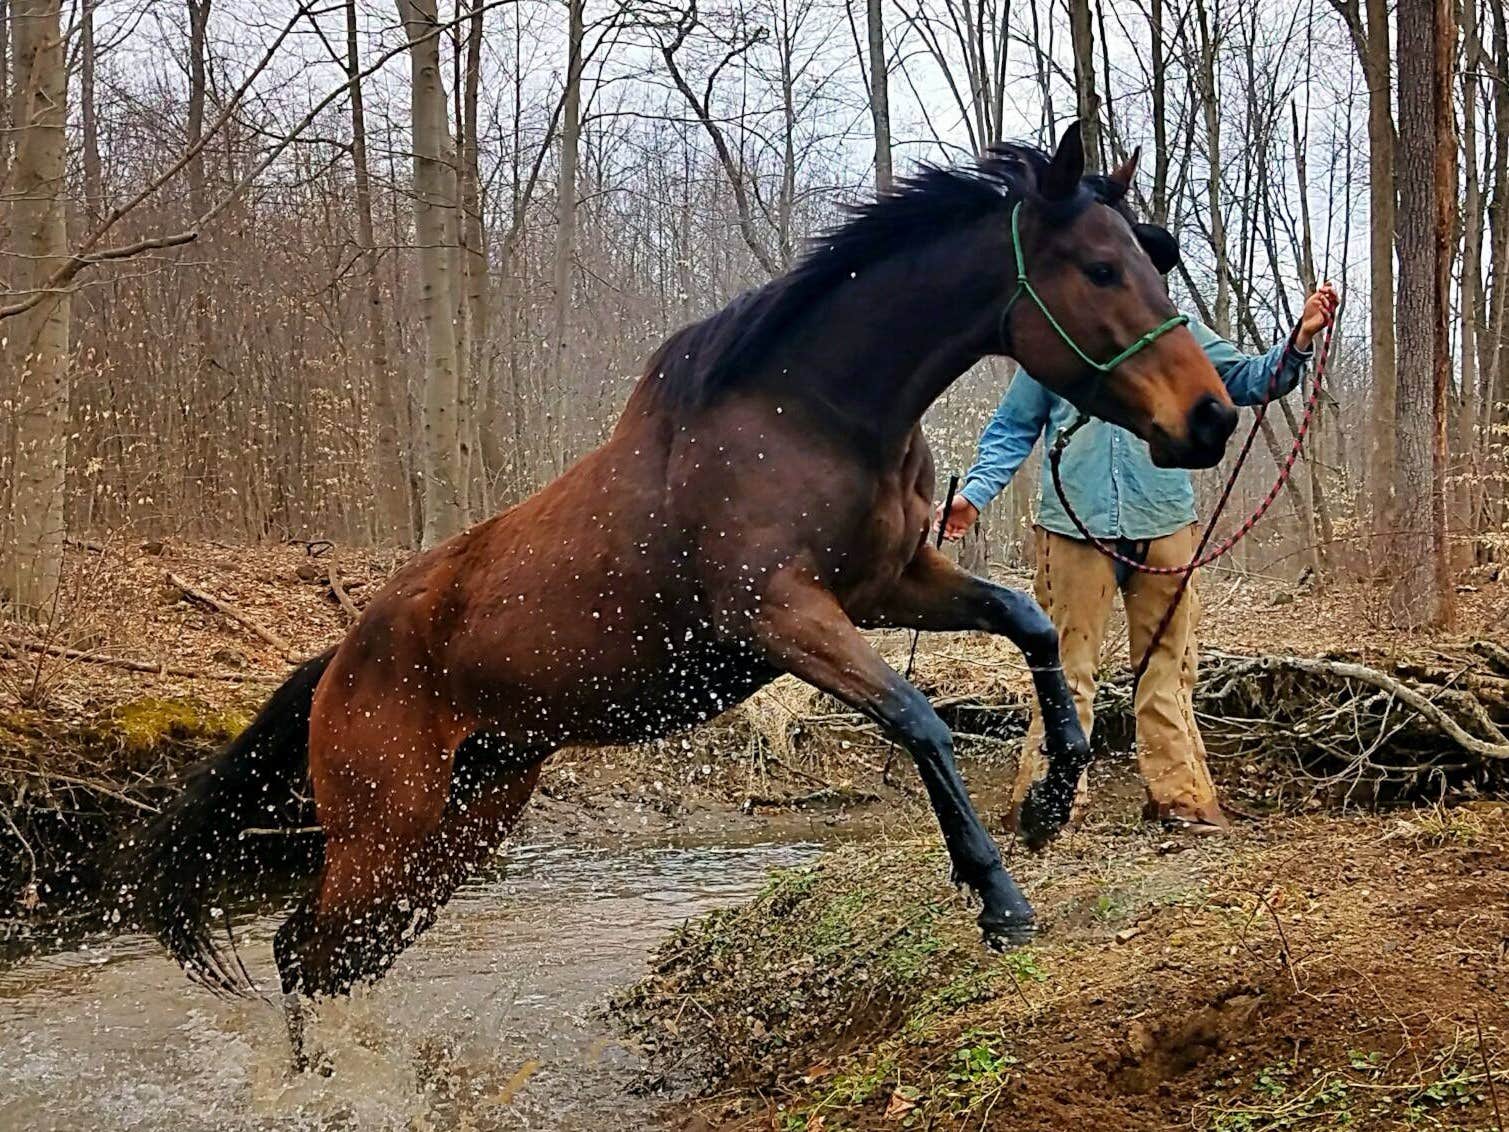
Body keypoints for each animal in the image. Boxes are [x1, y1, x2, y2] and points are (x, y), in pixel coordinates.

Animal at [125, 122, 1236, 1066]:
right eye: (1102, 268)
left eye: (1153, 258)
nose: (1213, 417)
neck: (810, 416)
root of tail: (337, 664)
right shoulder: (782, 615)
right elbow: (919, 717)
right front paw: (998, 897)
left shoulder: (890, 584)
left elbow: (1030, 624)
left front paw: (1051, 802)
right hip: (386, 835)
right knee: (296, 950)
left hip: (464, 826)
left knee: (332, 958)